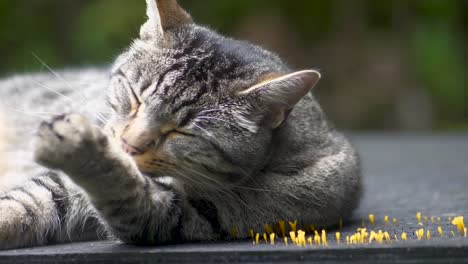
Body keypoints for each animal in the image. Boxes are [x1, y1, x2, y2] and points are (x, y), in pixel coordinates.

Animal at [0, 0, 360, 250]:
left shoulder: (181, 215)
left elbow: (122, 187)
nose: (128, 145)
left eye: (182, 131)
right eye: (135, 97)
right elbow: (29, 199)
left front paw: (81, 148)